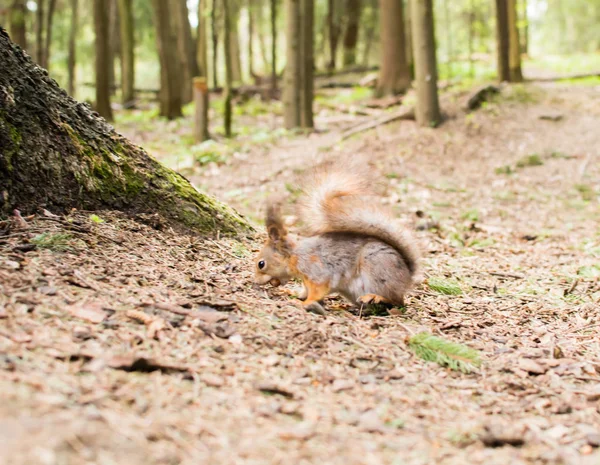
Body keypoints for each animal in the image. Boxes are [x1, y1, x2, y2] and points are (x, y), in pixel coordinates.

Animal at [254, 161, 422, 314]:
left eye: (261, 264)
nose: (255, 281)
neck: (295, 256)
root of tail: (407, 277)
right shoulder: (306, 280)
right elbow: (305, 291)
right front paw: (293, 292)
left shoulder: (318, 273)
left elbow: (317, 291)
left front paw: (304, 303)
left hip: (378, 270)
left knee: (396, 300)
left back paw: (375, 297)